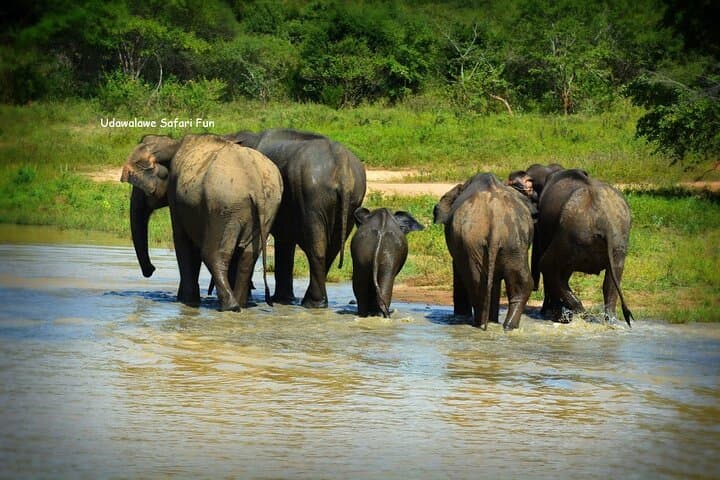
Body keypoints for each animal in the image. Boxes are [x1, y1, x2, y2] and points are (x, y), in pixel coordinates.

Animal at [120, 133, 283, 311]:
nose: (151, 269)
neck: (172, 144)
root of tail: (256, 183)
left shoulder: (176, 195)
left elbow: (183, 241)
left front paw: (187, 301)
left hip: (223, 206)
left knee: (213, 254)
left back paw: (230, 307)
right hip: (267, 208)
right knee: (247, 258)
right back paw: (240, 305)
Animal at [227, 128, 367, 308]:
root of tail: (341, 162)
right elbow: (285, 240)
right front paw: (283, 300)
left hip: (313, 196)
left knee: (317, 247)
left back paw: (312, 304)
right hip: (351, 200)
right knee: (332, 248)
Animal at [433, 173, 534, 330]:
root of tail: (496, 226)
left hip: (475, 245)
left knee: (476, 284)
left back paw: (480, 324)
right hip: (514, 243)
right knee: (520, 283)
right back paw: (506, 326)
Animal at [533, 168, 633, 326]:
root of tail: (604, 222)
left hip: (571, 235)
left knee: (546, 265)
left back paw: (583, 316)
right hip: (618, 240)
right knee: (613, 277)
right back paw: (605, 320)